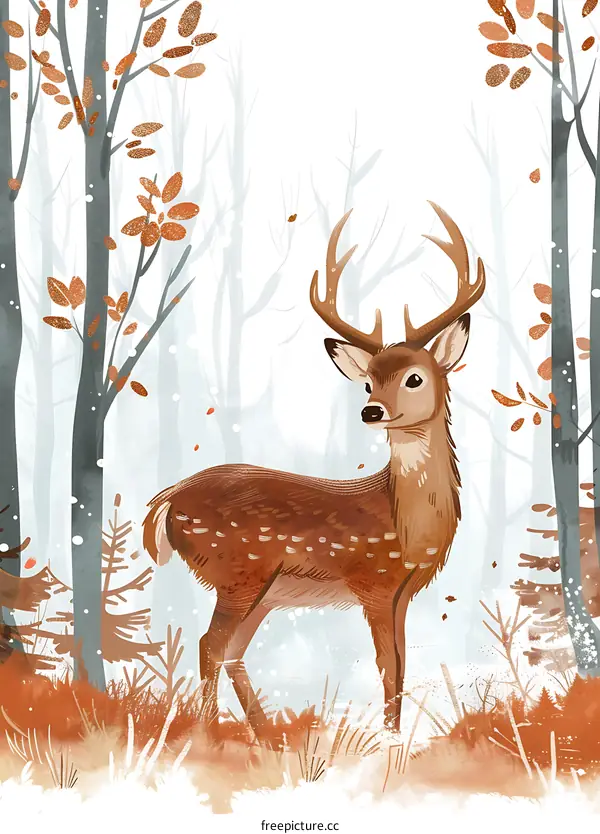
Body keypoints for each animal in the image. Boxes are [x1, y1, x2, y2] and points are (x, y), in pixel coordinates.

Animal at [142, 203, 486, 739]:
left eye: (415, 378)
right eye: (368, 382)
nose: (371, 410)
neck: (407, 526)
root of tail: (167, 499)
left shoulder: (403, 593)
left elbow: (402, 664)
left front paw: (393, 737)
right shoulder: (374, 582)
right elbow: (388, 665)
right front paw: (389, 740)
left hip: (262, 590)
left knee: (231, 651)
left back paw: (266, 736)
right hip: (237, 571)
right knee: (210, 644)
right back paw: (214, 733)